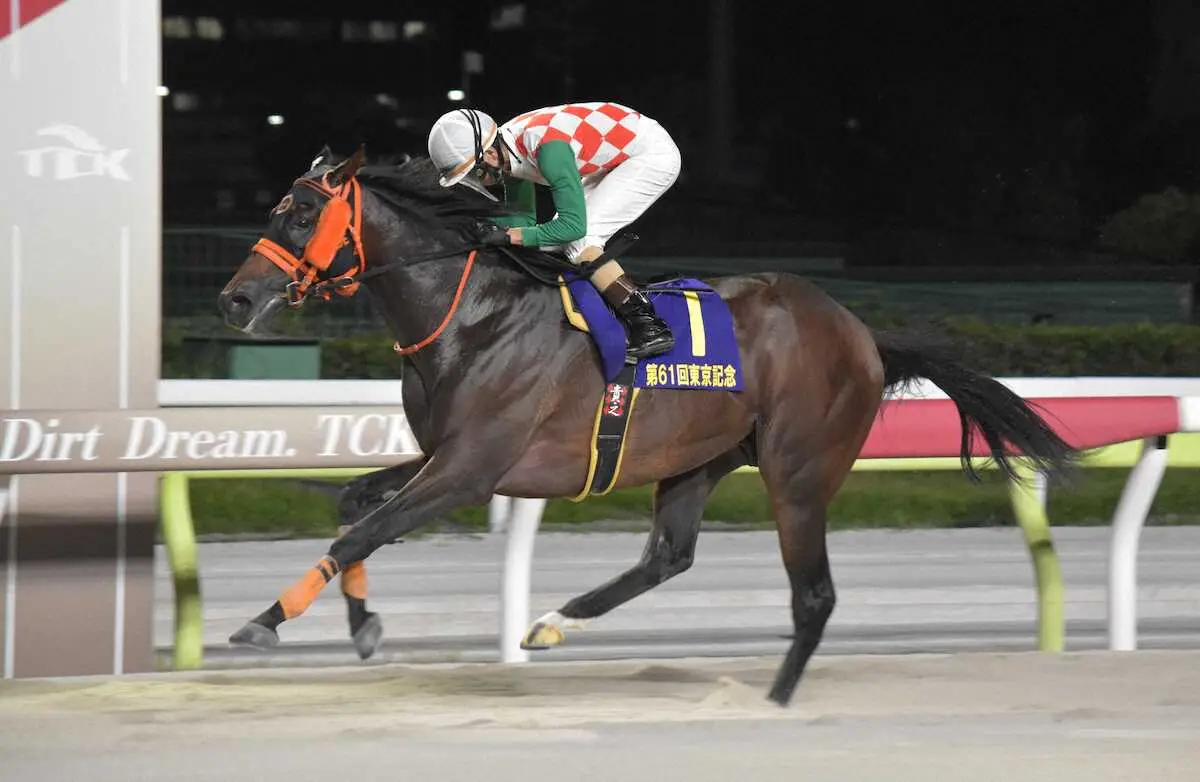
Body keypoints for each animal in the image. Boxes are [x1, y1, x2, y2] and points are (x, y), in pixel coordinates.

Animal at [216, 146, 1080, 710]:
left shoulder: (471, 469)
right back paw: (550, 625)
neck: (471, 316)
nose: (235, 300)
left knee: (814, 596)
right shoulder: (446, 458)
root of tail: (863, 335)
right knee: (669, 555)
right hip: (701, 457)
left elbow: (364, 530)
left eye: (299, 213)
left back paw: (773, 702)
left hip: (799, 473)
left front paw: (263, 622)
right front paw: (363, 625)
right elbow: (354, 509)